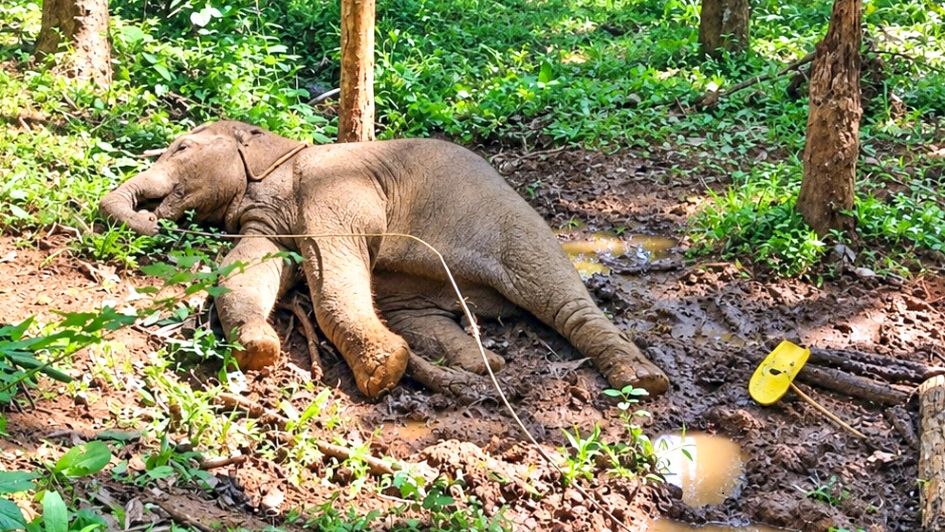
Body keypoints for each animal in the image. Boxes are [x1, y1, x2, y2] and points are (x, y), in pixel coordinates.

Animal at [99, 120, 670, 400]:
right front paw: (258, 350)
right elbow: (248, 268)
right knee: (417, 314)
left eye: (181, 148)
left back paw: (643, 380)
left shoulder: (333, 191)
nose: (151, 220)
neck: (285, 152)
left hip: (514, 226)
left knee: (557, 295)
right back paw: (479, 367)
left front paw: (381, 373)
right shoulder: (272, 217)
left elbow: (330, 269)